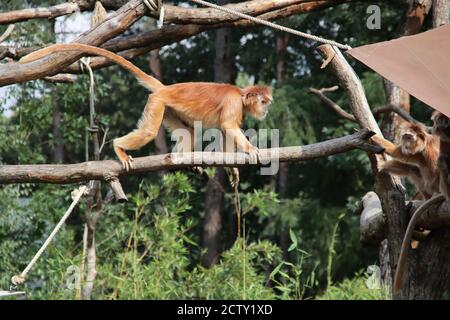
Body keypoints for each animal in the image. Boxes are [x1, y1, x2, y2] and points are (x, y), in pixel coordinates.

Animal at [21, 44, 272, 172]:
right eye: (264, 102)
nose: (266, 111)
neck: (240, 94)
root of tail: (166, 88)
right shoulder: (233, 103)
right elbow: (228, 126)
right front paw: (251, 149)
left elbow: (226, 132)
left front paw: (233, 169)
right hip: (158, 102)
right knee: (149, 132)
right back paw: (118, 146)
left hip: (168, 107)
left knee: (187, 131)